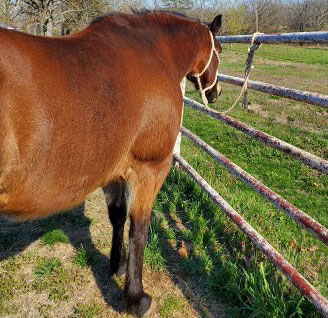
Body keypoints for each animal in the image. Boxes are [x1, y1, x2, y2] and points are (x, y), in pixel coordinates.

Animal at [0, 11, 223, 316]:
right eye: (220, 51)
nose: (216, 93)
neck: (154, 52)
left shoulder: (114, 170)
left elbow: (117, 217)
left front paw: (117, 266)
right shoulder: (150, 169)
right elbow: (139, 229)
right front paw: (136, 298)